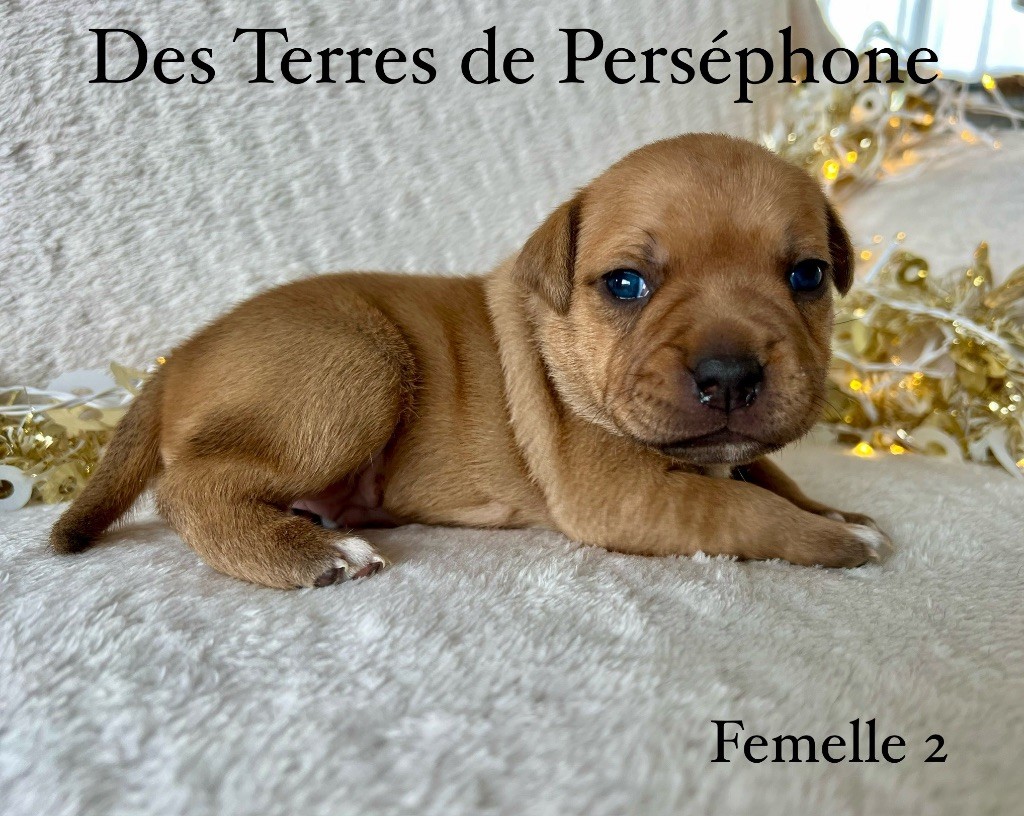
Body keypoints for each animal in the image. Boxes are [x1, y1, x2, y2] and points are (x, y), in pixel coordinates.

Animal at [52, 134, 891, 588]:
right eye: (626, 284)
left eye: (808, 276)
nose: (730, 377)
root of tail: (178, 356)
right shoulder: (622, 491)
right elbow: (739, 508)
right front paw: (837, 541)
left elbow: (766, 472)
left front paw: (833, 510)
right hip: (357, 365)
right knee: (191, 486)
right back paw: (307, 552)